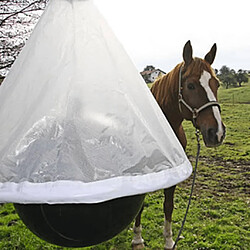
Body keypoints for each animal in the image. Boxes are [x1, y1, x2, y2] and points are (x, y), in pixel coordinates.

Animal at [132, 40, 226, 249]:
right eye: (190, 85)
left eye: (216, 84)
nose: (216, 133)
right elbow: (139, 205)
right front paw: (137, 239)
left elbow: (168, 205)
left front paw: (169, 240)